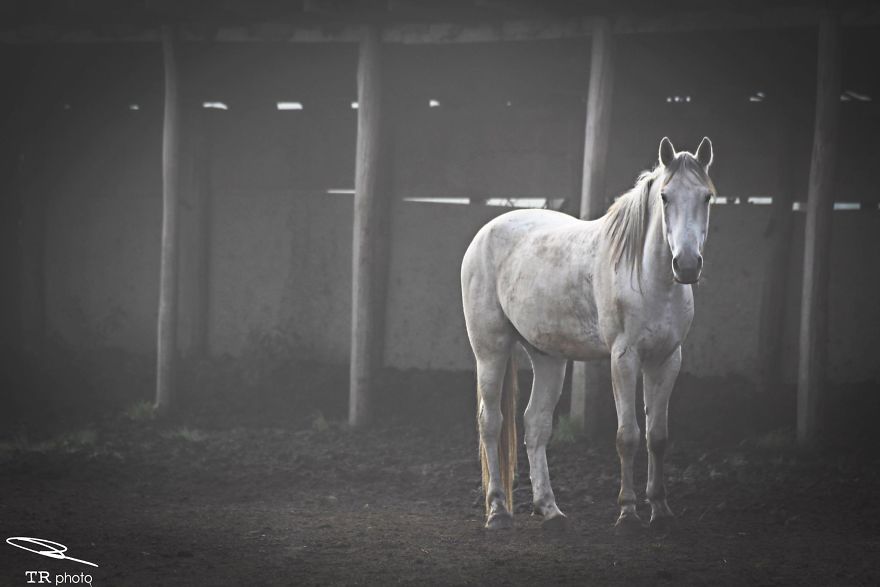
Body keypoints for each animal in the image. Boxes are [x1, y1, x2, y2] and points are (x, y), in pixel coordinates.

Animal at [461, 137, 715, 531]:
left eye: (706, 197)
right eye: (665, 197)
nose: (687, 265)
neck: (647, 276)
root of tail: (483, 235)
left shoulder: (666, 359)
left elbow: (657, 437)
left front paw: (660, 508)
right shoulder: (624, 358)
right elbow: (627, 436)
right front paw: (627, 512)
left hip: (548, 358)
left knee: (535, 424)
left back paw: (549, 507)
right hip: (490, 350)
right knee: (491, 423)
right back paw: (498, 511)